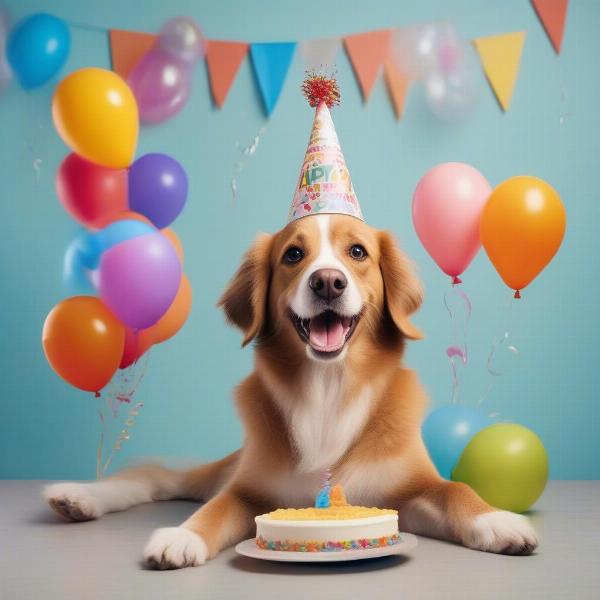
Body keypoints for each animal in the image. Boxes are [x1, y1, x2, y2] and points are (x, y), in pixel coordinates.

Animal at [44, 214, 536, 568]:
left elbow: (456, 489)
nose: (327, 282)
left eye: (358, 251)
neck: (328, 387)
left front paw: (497, 521)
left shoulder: (406, 492)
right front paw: (183, 536)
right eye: (294, 254)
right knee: (158, 478)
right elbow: (215, 508)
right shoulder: (248, 490)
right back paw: (78, 497)